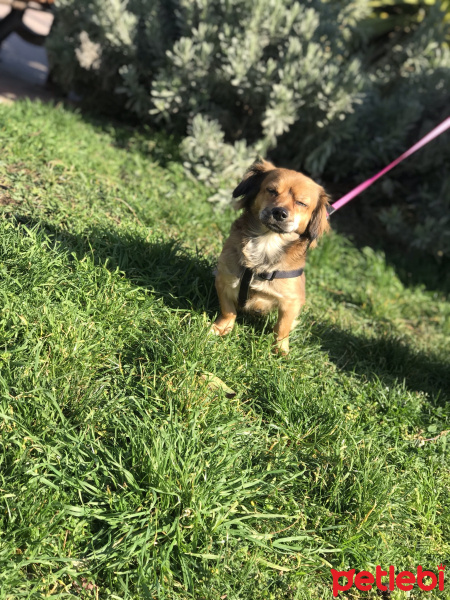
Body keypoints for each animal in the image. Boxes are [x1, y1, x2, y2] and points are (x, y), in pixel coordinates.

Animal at [211, 159, 330, 356]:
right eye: (272, 190)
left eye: (301, 203)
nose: (280, 212)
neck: (267, 242)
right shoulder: (224, 280)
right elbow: (228, 310)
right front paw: (222, 328)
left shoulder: (291, 301)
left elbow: (282, 327)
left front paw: (280, 350)